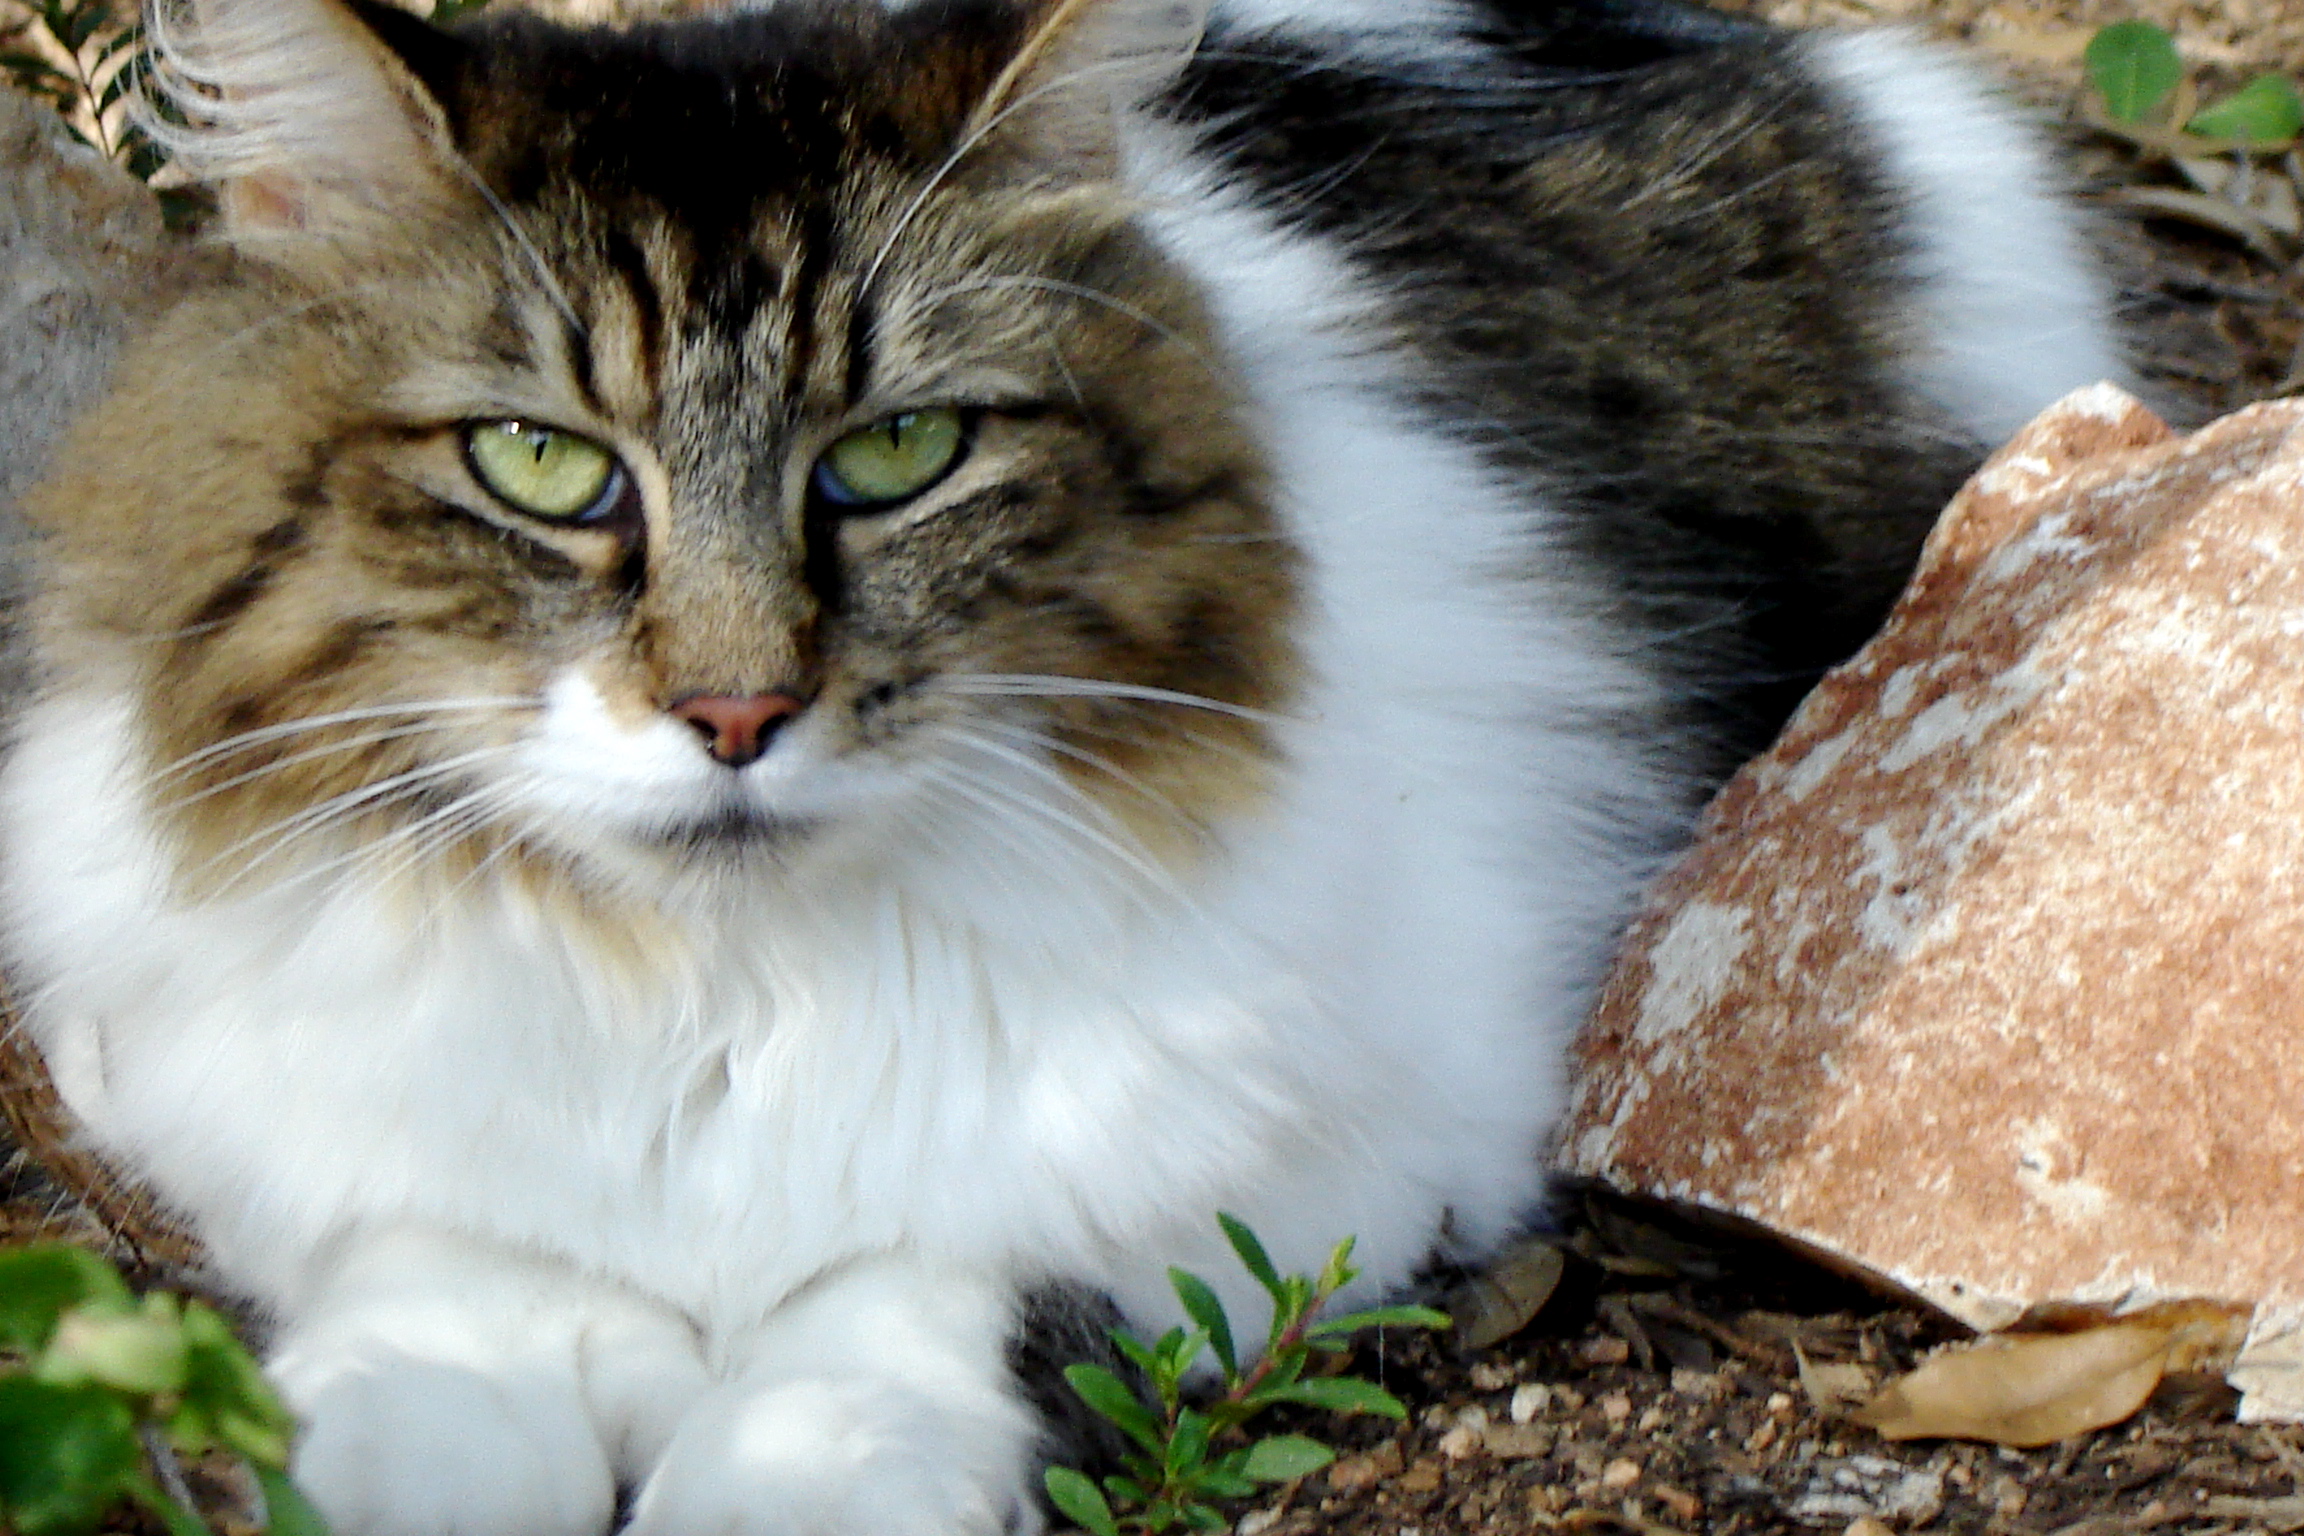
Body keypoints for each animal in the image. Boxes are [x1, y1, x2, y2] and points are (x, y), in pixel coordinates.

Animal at [0, 0, 2119, 1529]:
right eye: (539, 466)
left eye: (894, 455)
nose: (735, 717)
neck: (715, 992)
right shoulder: (238, 1100)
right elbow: (437, 1290)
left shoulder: (1337, 1144)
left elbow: (921, 1289)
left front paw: (765, 1455)